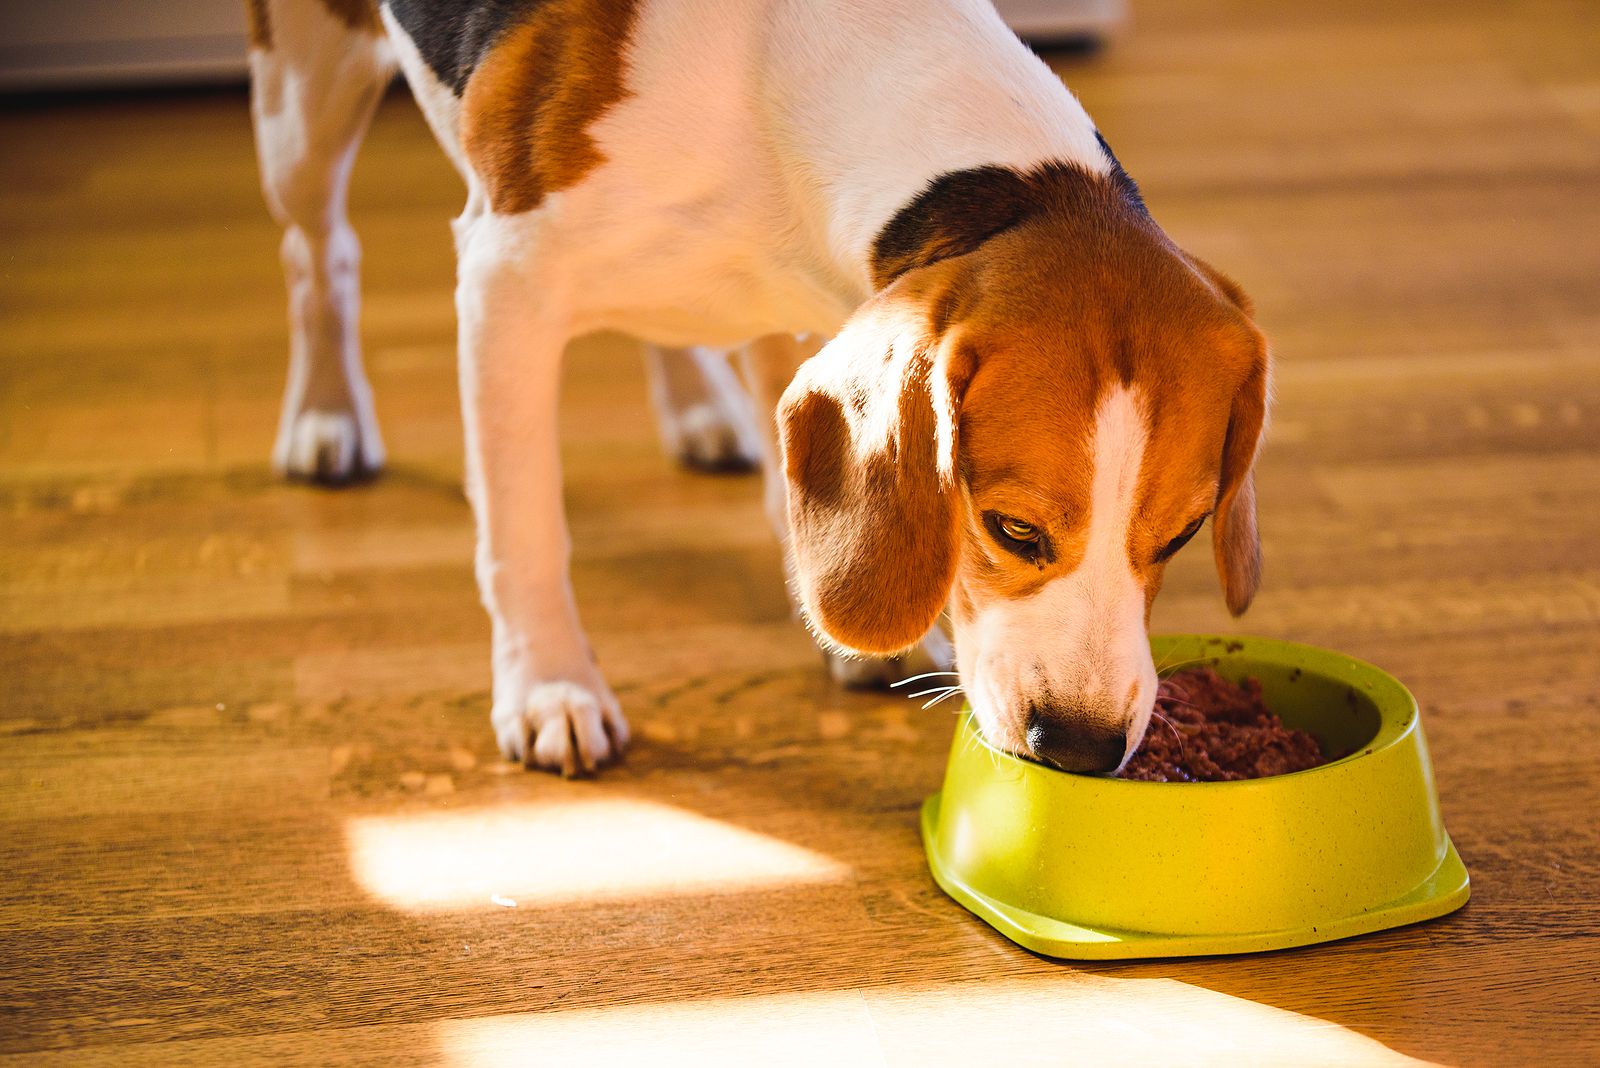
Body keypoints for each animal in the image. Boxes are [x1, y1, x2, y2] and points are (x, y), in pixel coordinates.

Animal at [246, 0, 1260, 770]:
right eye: (1011, 529)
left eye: (1181, 536)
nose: (1082, 748)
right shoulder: (505, 283)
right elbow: (525, 531)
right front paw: (549, 685)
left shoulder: (814, 304)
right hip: (302, 108)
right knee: (317, 252)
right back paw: (325, 416)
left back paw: (700, 408)